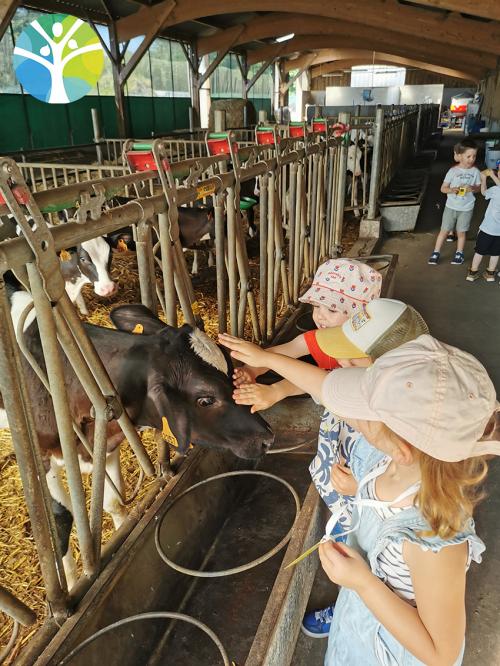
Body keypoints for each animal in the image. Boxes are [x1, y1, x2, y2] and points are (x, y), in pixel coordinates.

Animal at [0, 298, 274, 584]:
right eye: (206, 400)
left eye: (231, 370)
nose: (268, 438)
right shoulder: (42, 457)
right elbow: (60, 518)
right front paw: (74, 581)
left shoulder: (106, 441)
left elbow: (113, 502)